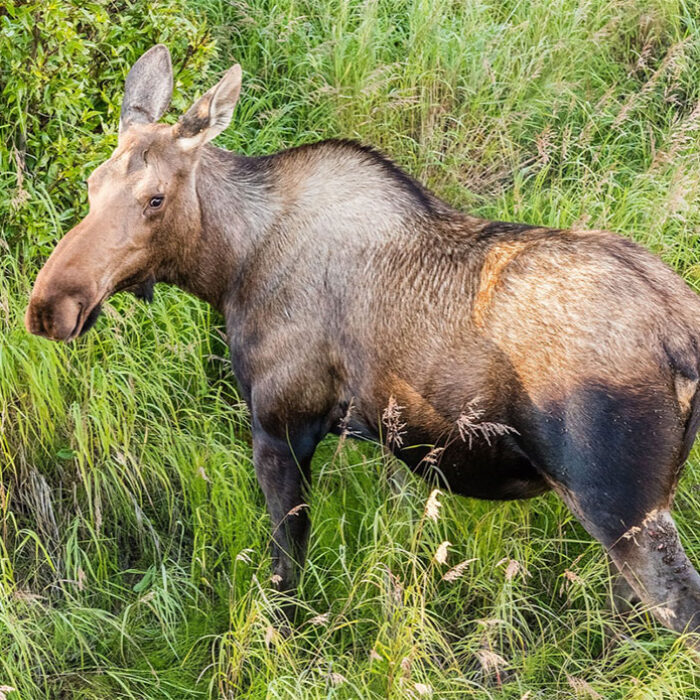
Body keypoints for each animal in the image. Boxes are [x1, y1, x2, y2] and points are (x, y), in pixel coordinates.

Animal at [25, 45, 700, 641]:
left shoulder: (281, 425)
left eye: (155, 198)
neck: (227, 267)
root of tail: (684, 338)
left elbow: (286, 571)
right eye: (91, 185)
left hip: (620, 504)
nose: (50, 307)